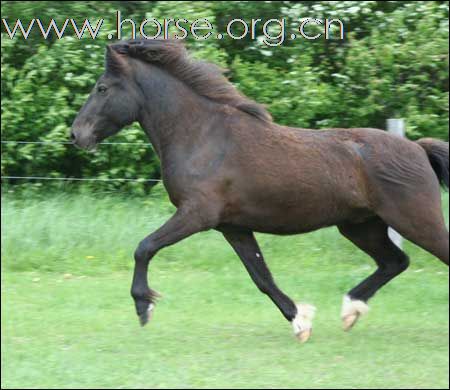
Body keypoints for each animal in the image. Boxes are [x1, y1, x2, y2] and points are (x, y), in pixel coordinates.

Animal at [72, 39, 448, 342]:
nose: (76, 135)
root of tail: (418, 149)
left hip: (415, 220)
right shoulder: (233, 227)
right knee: (395, 261)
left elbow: (144, 247)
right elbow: (261, 276)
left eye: (102, 88)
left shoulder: (196, 214)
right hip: (361, 226)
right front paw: (301, 322)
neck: (202, 135)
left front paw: (143, 307)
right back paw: (350, 311)